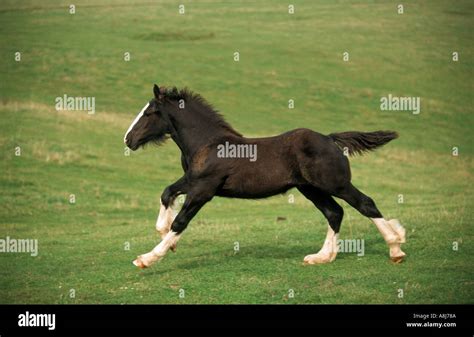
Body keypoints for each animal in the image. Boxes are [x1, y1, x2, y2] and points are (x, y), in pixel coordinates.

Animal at [124, 84, 406, 268]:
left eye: (149, 113)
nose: (128, 140)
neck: (208, 143)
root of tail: (329, 138)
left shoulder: (203, 189)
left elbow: (180, 222)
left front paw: (147, 258)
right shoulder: (192, 181)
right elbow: (167, 193)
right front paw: (165, 237)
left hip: (335, 183)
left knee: (365, 204)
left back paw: (396, 247)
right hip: (310, 188)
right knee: (334, 212)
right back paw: (322, 257)